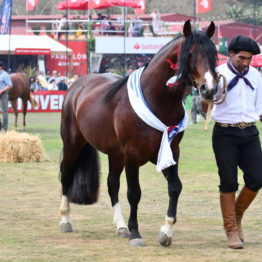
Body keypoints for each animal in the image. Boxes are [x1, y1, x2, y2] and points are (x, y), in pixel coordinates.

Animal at [59, 19, 219, 247]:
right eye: (189, 54)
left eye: (213, 53)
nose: (209, 88)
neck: (157, 101)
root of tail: (77, 86)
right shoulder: (132, 156)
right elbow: (134, 193)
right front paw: (135, 233)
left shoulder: (170, 152)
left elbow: (175, 188)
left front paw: (166, 232)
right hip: (73, 144)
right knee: (66, 174)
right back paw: (65, 220)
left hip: (115, 154)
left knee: (112, 184)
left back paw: (120, 226)